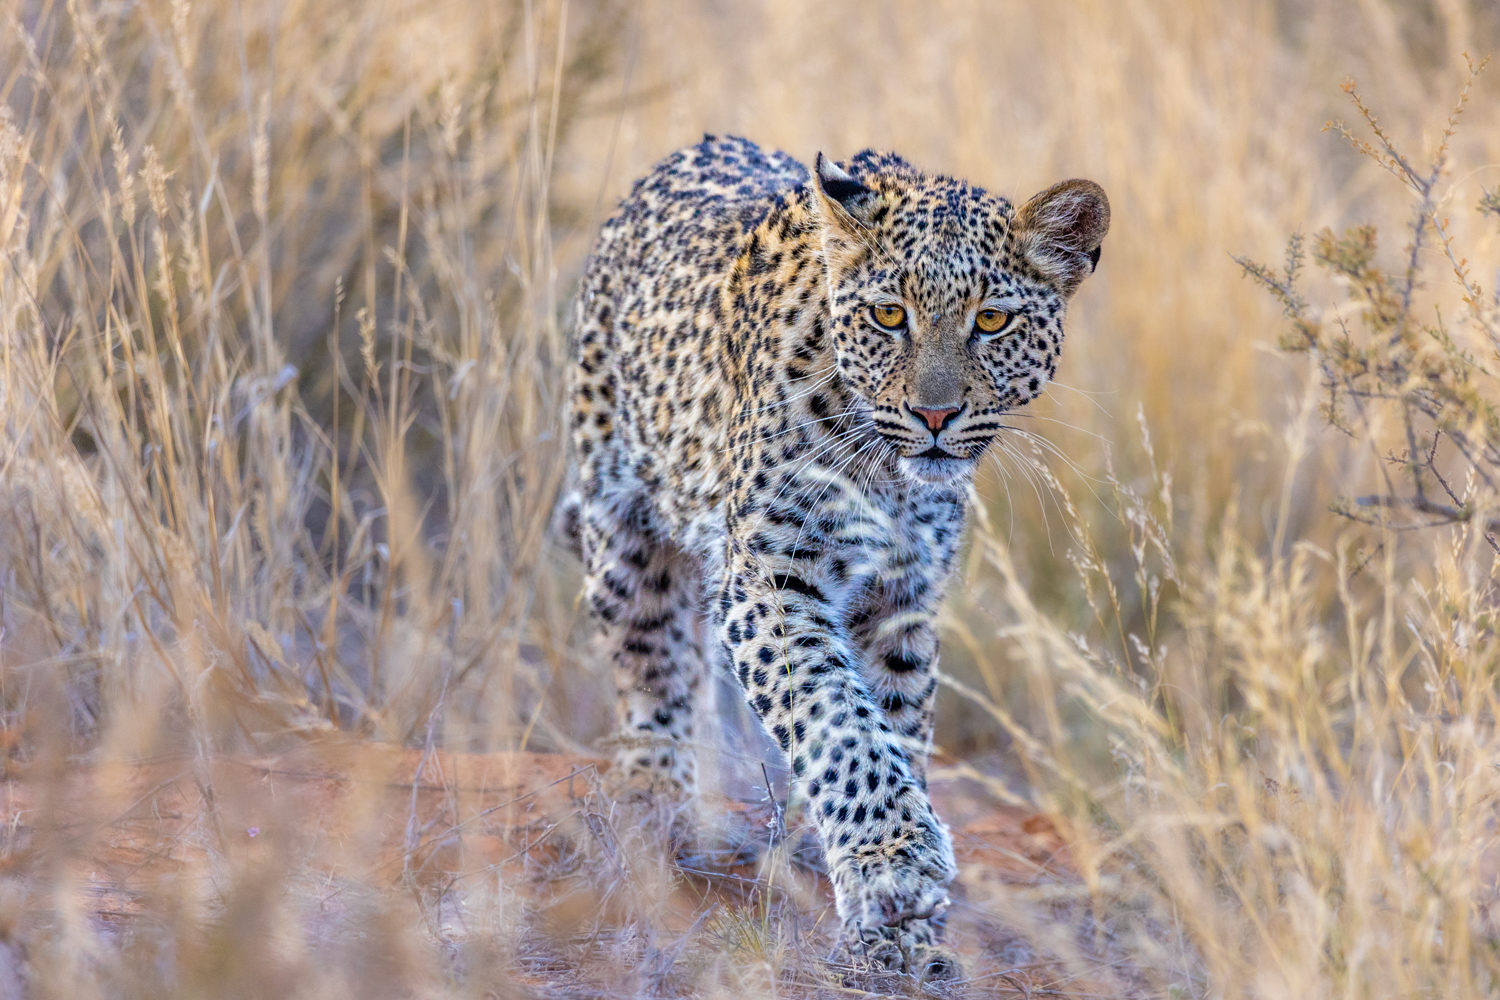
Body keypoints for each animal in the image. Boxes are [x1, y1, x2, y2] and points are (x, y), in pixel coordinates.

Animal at [567, 134, 1110, 977]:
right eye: (890, 315)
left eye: (992, 320)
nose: (934, 415)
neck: (887, 473)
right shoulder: (769, 577)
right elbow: (839, 724)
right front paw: (895, 865)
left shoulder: (900, 602)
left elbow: (891, 728)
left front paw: (896, 929)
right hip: (619, 522)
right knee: (652, 662)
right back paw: (655, 802)